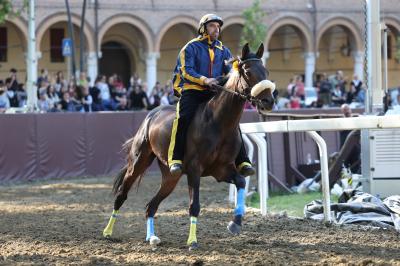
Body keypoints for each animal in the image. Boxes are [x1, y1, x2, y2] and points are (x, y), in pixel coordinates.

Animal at [102, 42, 276, 250]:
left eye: (266, 70)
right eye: (248, 71)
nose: (269, 101)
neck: (218, 123)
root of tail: (152, 114)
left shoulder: (222, 169)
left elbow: (241, 181)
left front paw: (235, 223)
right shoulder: (194, 169)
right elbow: (195, 205)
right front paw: (192, 241)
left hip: (170, 177)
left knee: (150, 206)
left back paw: (152, 237)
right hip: (139, 162)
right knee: (122, 195)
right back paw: (108, 232)